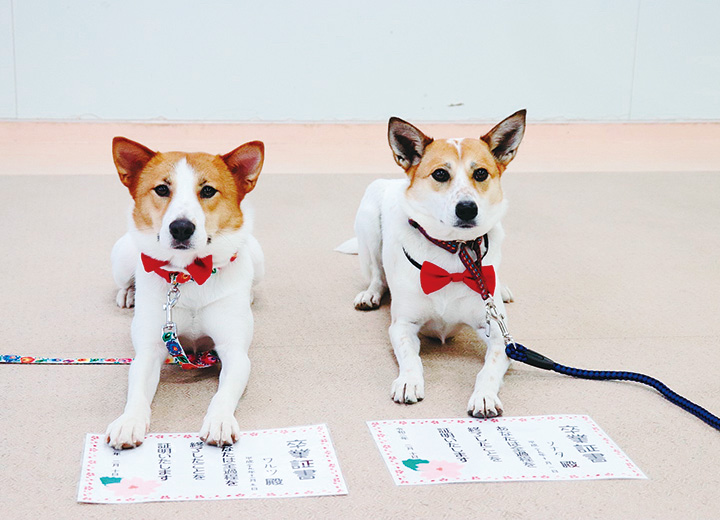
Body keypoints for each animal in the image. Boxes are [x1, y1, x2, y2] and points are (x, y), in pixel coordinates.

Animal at [107, 137, 264, 446]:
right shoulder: (149, 350)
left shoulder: (234, 351)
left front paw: (219, 420)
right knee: (125, 279)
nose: (181, 228)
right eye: (162, 189)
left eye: (208, 190)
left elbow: (223, 394)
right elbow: (137, 392)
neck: (188, 275)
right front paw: (129, 421)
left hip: (258, 257)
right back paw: (128, 293)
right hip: (124, 258)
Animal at [340, 110, 524, 418]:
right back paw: (371, 294)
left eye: (481, 173)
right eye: (440, 174)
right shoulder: (402, 326)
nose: (467, 208)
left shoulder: (500, 337)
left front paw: (484, 395)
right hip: (368, 224)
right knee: (377, 274)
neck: (453, 252)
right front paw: (408, 381)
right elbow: (410, 358)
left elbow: (488, 369)